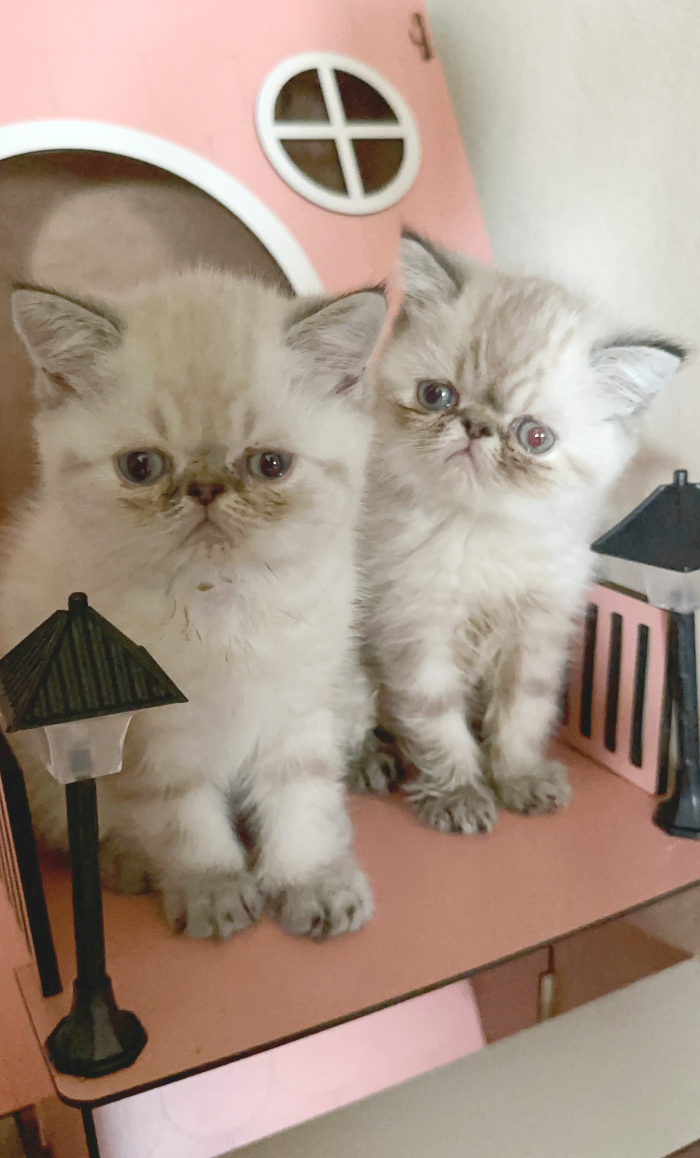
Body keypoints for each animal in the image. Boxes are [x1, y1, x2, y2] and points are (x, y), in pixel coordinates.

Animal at [1, 266, 389, 935]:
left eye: (271, 464)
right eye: (140, 467)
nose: (206, 488)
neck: (219, 601)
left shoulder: (299, 706)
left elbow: (303, 802)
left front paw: (311, 882)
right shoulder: (153, 739)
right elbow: (186, 823)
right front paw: (214, 893)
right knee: (75, 824)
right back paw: (127, 863)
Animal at [350, 235, 681, 833]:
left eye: (535, 437)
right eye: (436, 396)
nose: (476, 426)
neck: (485, 533)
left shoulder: (538, 631)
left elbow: (522, 715)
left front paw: (519, 779)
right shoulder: (416, 630)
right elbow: (437, 725)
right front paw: (459, 795)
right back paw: (371, 761)